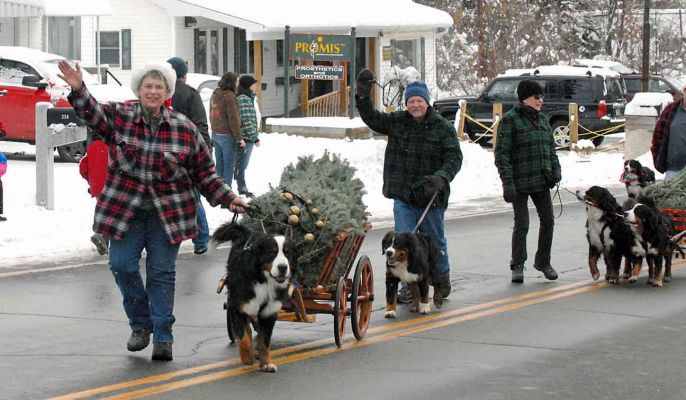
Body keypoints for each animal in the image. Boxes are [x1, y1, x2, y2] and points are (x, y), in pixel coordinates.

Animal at [210, 222, 296, 372]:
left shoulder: (269, 312)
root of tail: (248, 232)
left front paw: (266, 363)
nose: (283, 267)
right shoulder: (236, 308)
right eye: (272, 253)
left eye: (287, 252)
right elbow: (244, 338)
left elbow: (264, 341)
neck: (263, 280)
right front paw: (247, 358)